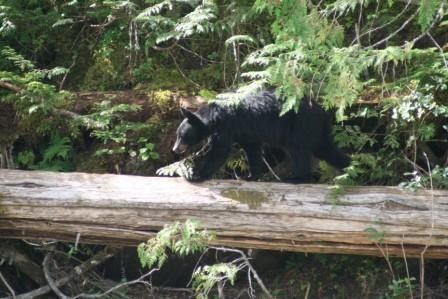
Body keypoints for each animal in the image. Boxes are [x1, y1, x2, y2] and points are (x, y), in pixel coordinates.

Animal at [173, 89, 352, 183]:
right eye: (177, 135)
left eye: (182, 136)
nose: (175, 149)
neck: (212, 117)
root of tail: (322, 112)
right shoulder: (246, 133)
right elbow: (252, 150)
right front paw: (250, 175)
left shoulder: (227, 126)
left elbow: (220, 151)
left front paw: (196, 174)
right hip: (316, 131)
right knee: (327, 150)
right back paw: (352, 168)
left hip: (301, 125)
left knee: (299, 150)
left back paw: (296, 178)